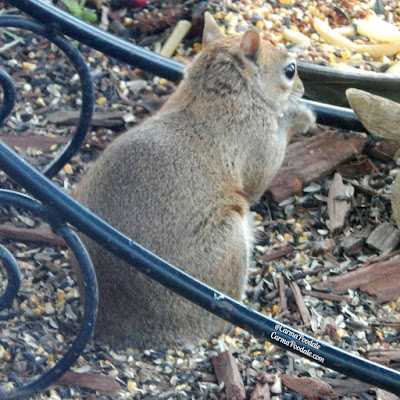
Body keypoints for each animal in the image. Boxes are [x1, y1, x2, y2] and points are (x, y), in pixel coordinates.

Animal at [72, 13, 316, 350]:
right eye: (289, 70)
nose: (304, 88)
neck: (216, 92)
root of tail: (114, 326)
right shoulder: (258, 142)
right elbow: (258, 181)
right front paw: (300, 116)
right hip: (228, 244)